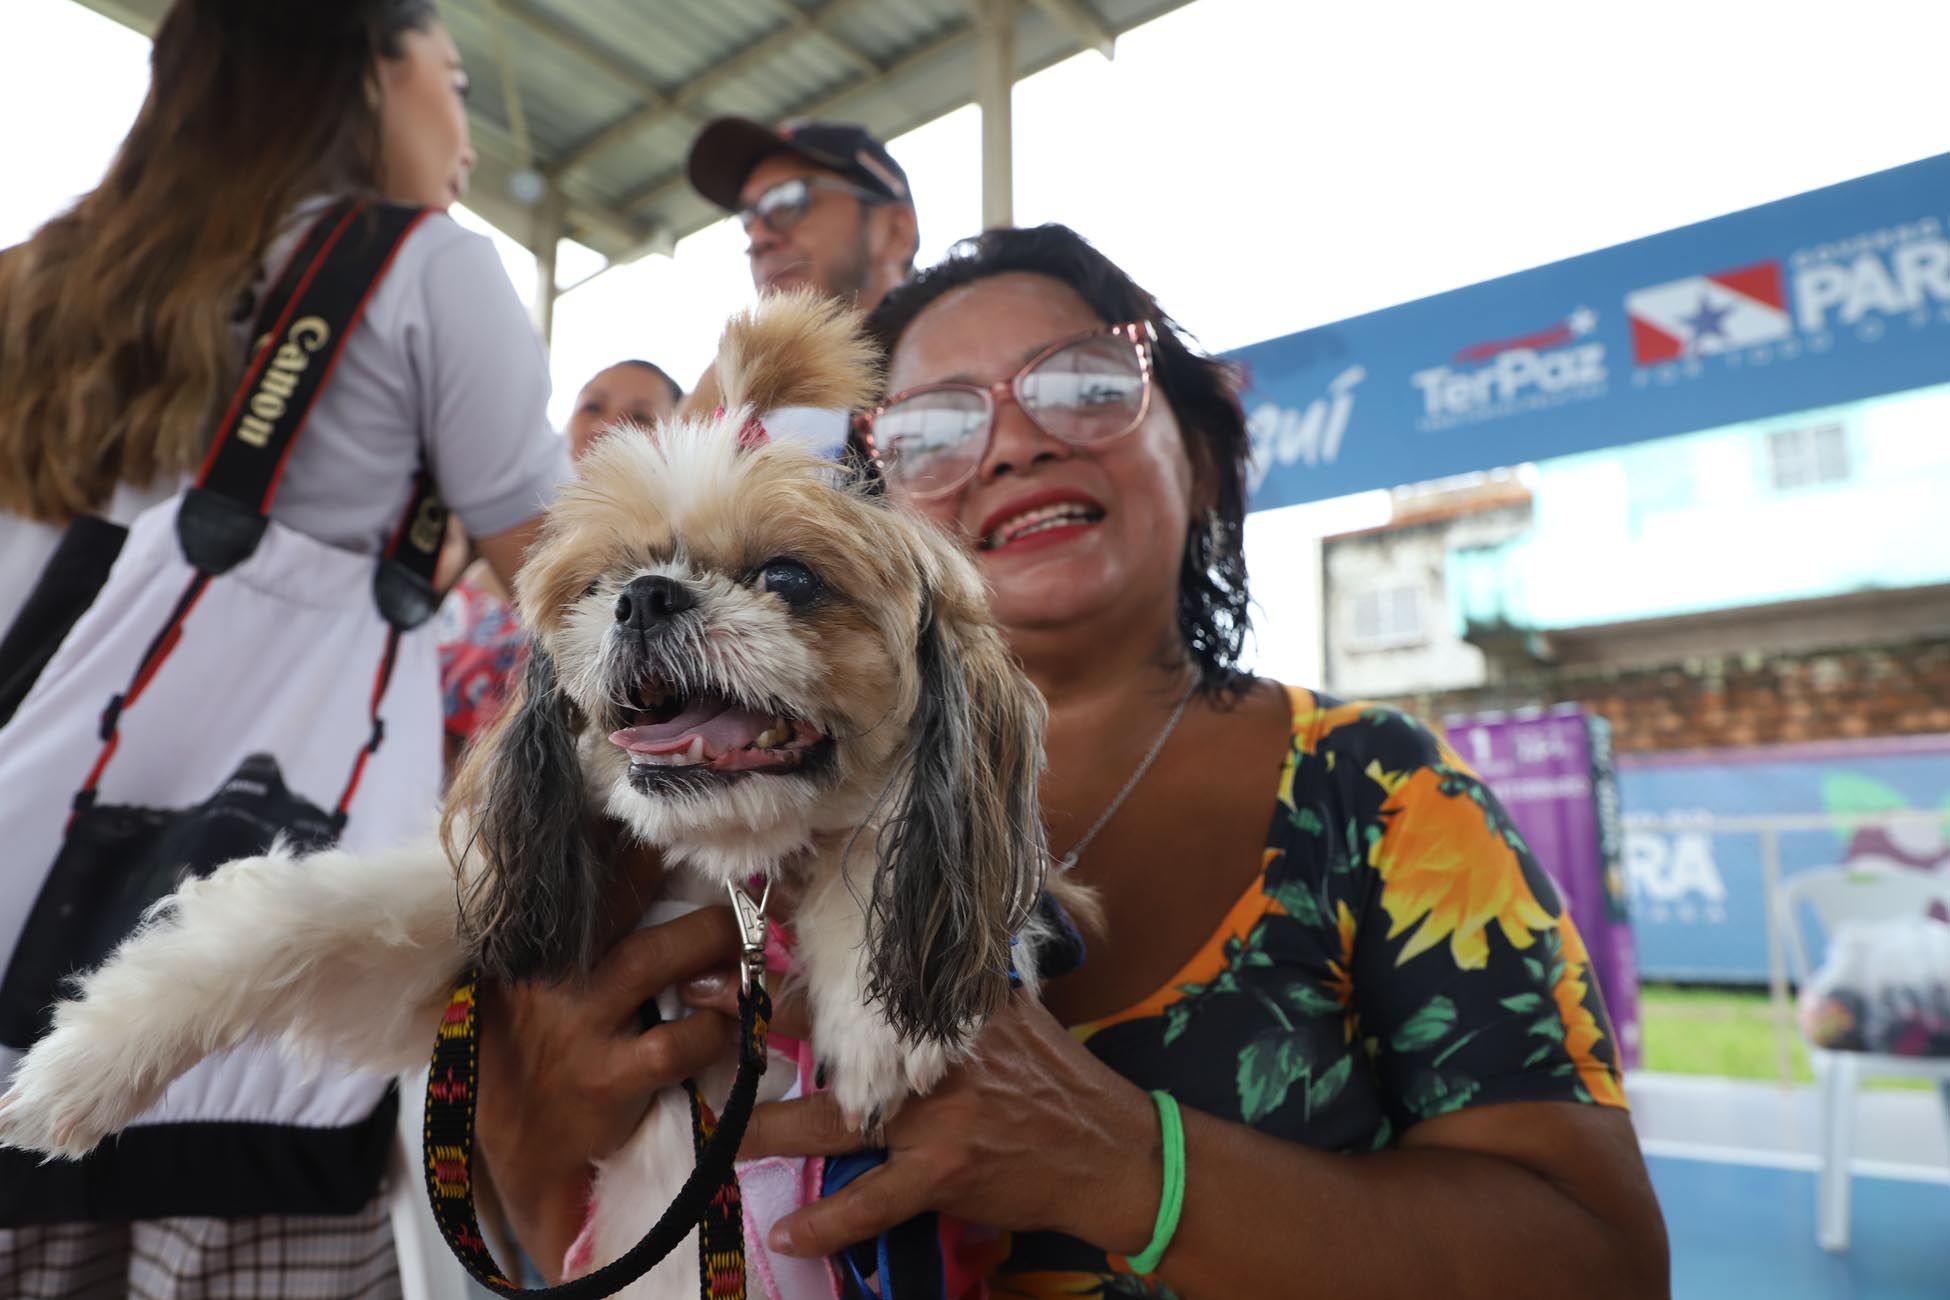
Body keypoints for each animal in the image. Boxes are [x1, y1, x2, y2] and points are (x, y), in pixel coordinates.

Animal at [0, 292, 1084, 1300]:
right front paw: (83, 1063)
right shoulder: (491, 914)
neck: (728, 879)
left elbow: (875, 848)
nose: (645, 596)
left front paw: (874, 1019)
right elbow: (296, 919)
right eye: (601, 581)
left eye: (788, 575)